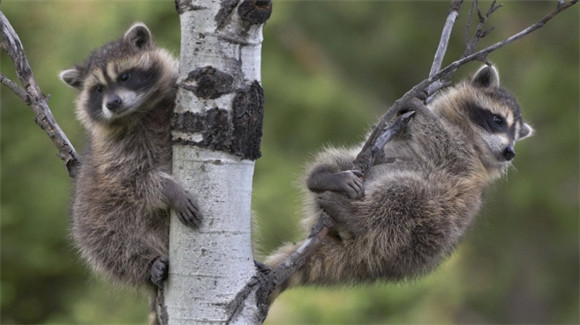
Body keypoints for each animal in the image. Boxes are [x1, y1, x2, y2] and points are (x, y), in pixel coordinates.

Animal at [57, 22, 201, 296]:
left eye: (124, 76)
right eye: (98, 89)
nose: (113, 103)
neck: (138, 112)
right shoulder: (113, 150)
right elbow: (131, 178)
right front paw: (169, 189)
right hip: (94, 215)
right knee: (111, 244)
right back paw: (148, 264)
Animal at [266, 65, 532, 296]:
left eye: (515, 136)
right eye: (498, 120)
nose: (509, 152)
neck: (468, 132)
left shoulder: (466, 163)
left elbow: (444, 146)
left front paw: (421, 111)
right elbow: (389, 133)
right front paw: (413, 108)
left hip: (424, 231)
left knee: (405, 197)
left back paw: (356, 216)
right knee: (344, 159)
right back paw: (324, 177)